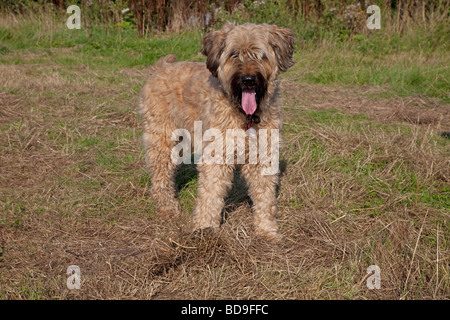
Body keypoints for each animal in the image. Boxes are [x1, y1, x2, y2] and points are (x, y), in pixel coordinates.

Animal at [139, 23, 298, 240]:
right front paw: (204, 230)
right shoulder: (217, 155)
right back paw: (168, 209)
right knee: (160, 177)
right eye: (234, 54)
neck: (245, 117)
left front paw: (267, 230)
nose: (248, 80)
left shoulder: (262, 156)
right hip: (162, 141)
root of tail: (161, 67)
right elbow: (211, 195)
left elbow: (265, 197)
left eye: (260, 55)